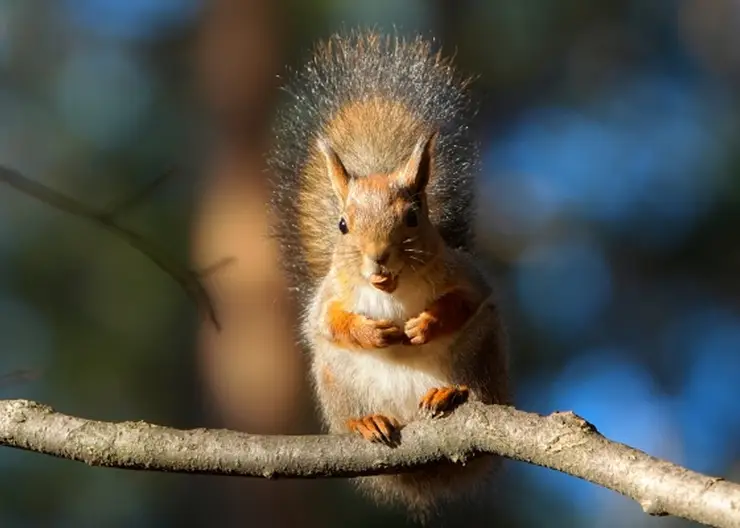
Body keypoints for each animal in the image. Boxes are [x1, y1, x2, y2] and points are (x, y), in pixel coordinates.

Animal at [268, 28, 512, 520]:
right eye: (342, 225)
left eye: (414, 217)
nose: (377, 258)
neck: (392, 292)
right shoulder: (329, 297)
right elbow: (328, 321)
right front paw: (372, 332)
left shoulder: (467, 278)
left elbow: (464, 301)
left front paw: (424, 324)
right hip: (336, 376)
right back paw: (366, 420)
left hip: (480, 353)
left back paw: (450, 394)